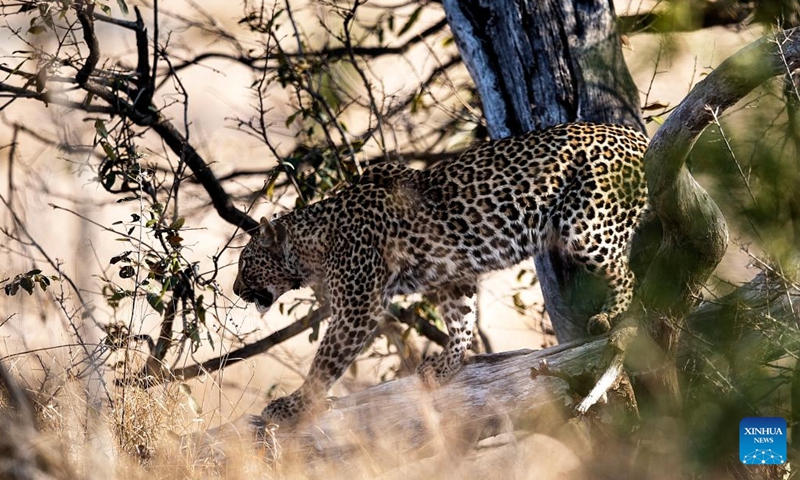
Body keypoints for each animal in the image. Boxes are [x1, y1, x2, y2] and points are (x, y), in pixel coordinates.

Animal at [233, 122, 649, 425]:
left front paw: (293, 406)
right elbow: (461, 322)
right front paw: (447, 365)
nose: (236, 289)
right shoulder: (453, 275)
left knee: (626, 274)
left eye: (245, 262)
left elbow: (324, 364)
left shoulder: (357, 307)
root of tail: (635, 134)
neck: (315, 245)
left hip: (588, 224)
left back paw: (611, 316)